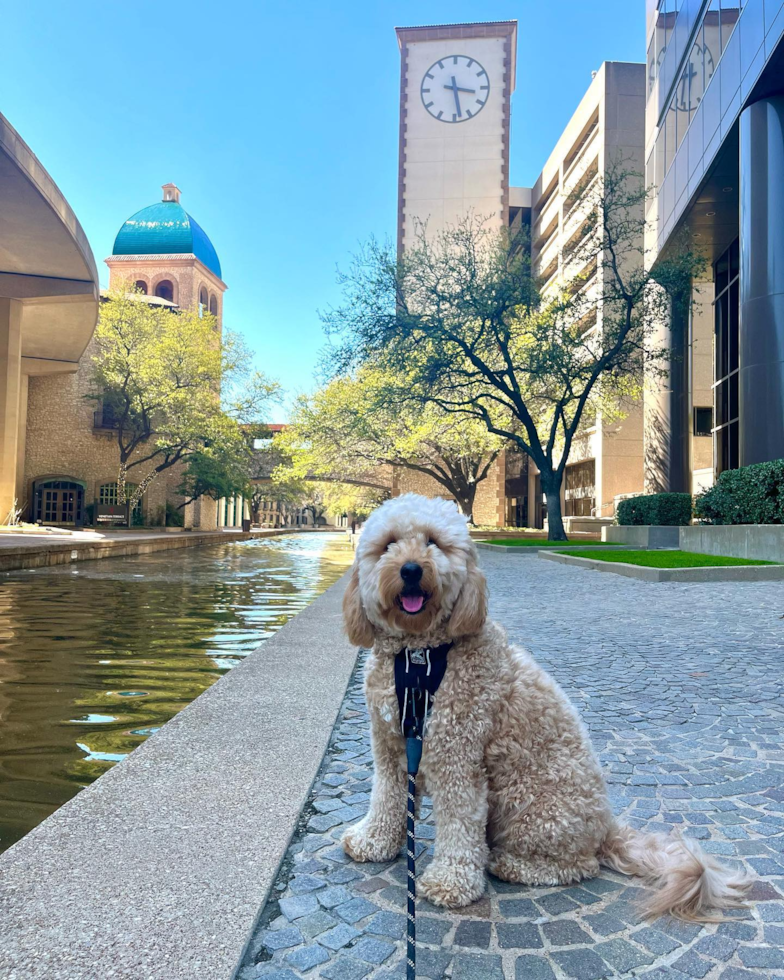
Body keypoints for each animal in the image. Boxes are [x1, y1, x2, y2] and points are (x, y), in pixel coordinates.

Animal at [342, 498, 748, 920]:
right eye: (388, 544)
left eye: (433, 542)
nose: (411, 569)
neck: (418, 658)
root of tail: (606, 829)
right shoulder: (390, 748)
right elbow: (386, 797)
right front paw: (373, 841)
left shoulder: (457, 755)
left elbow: (458, 823)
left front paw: (451, 883)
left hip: (530, 808)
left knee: (577, 866)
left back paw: (511, 864)